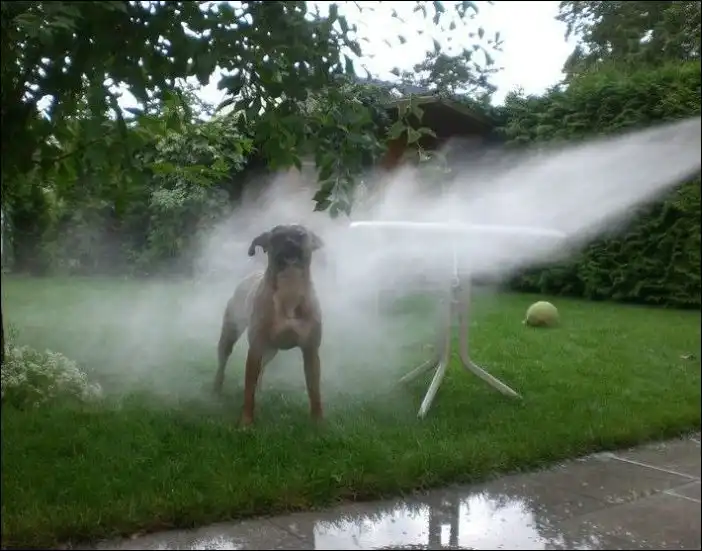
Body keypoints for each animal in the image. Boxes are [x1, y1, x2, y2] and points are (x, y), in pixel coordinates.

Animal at [213, 224, 325, 426]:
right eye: (277, 235)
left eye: (301, 234)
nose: (289, 241)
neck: (290, 289)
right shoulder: (256, 348)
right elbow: (248, 391)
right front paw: (246, 421)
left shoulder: (311, 351)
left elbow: (315, 391)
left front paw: (318, 421)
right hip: (230, 335)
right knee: (222, 364)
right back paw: (216, 389)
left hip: (271, 350)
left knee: (262, 369)